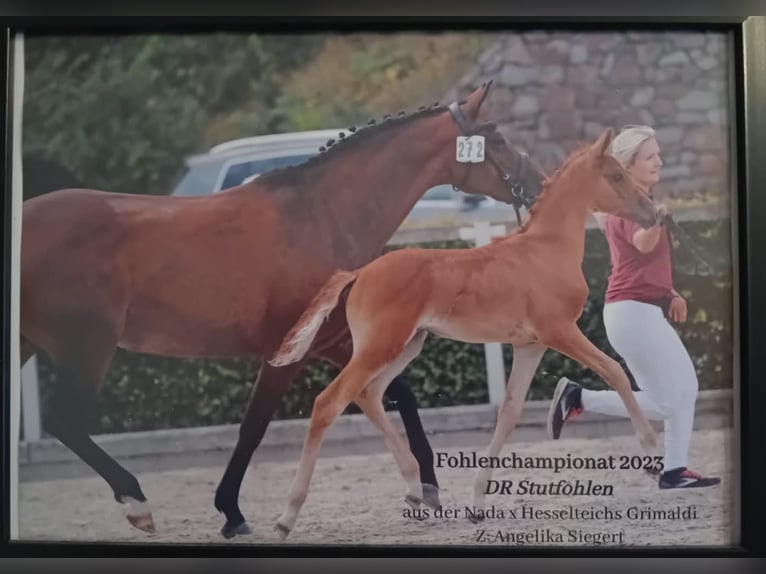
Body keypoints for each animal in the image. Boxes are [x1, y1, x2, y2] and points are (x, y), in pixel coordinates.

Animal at [18, 80, 547, 538]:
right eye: (496, 135)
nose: (539, 183)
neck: (321, 214)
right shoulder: (286, 353)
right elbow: (253, 427)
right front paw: (232, 513)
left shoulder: (335, 341)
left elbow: (399, 393)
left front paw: (429, 487)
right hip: (88, 349)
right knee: (66, 423)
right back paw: (137, 504)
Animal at [266, 127, 660, 539]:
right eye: (616, 176)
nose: (653, 213)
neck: (546, 250)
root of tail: (359, 273)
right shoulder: (560, 332)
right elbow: (615, 371)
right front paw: (654, 459)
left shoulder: (530, 345)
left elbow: (509, 411)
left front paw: (477, 504)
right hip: (380, 347)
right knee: (329, 402)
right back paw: (287, 516)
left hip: (405, 346)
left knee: (368, 394)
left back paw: (415, 490)